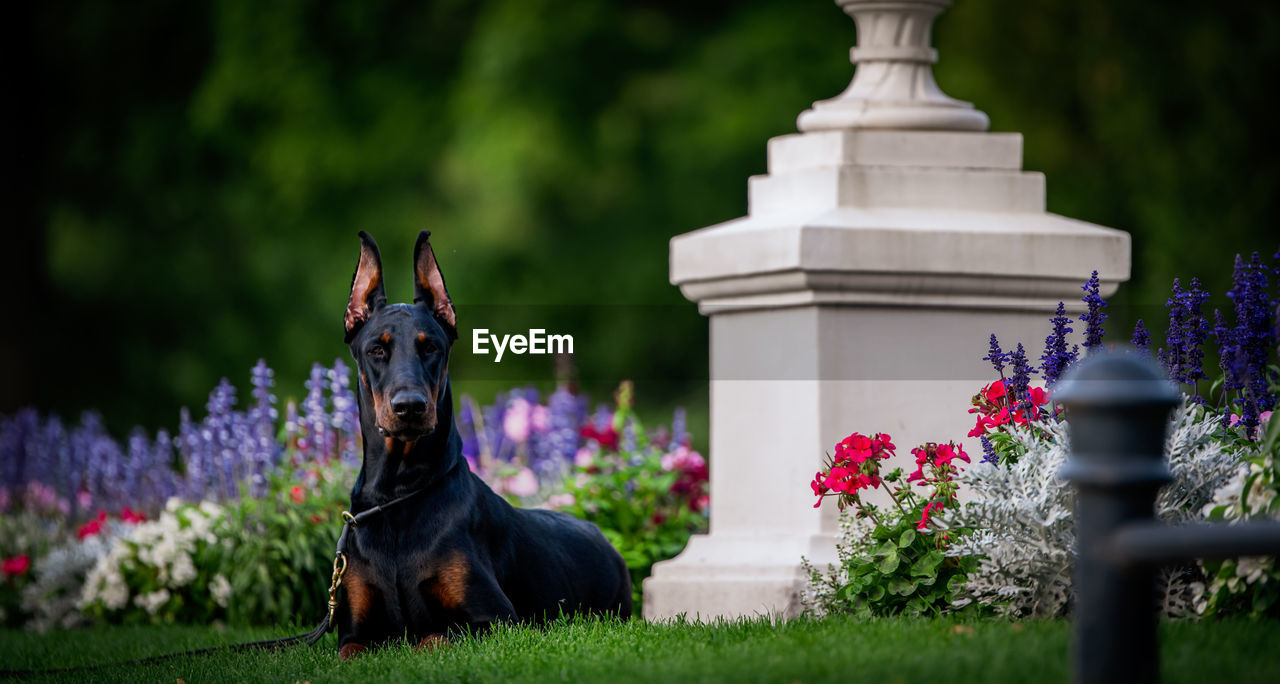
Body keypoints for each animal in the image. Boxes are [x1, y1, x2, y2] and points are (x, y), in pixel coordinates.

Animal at [332, 233, 627, 660]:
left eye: (430, 347)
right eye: (377, 349)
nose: (410, 407)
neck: (399, 493)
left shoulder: (496, 620)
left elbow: (430, 638)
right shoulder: (354, 631)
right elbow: (351, 650)